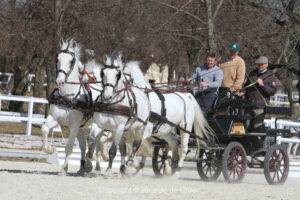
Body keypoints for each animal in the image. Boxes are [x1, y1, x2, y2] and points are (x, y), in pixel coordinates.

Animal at [42, 38, 102, 175]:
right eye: (57, 59)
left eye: (71, 61)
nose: (59, 81)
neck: (68, 96)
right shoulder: (55, 119)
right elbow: (45, 129)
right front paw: (49, 149)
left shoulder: (74, 125)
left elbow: (68, 147)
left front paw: (63, 170)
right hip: (82, 127)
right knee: (85, 145)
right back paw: (83, 167)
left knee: (96, 141)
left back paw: (94, 165)